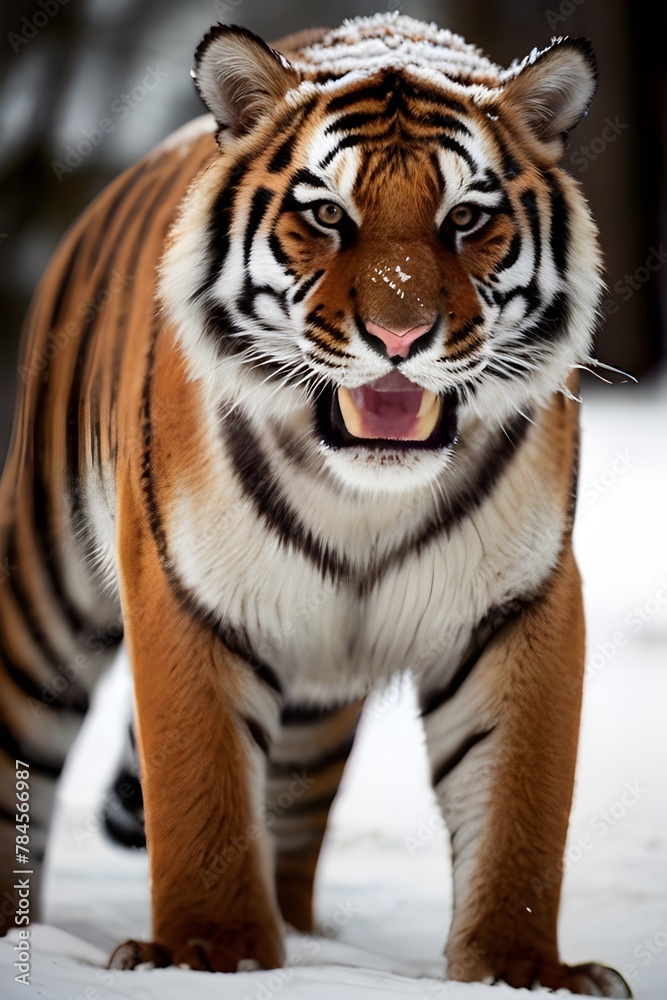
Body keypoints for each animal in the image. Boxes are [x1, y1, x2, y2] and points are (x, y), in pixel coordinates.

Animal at [0, 12, 632, 995]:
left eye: (465, 218)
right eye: (328, 215)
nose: (400, 338)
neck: (361, 498)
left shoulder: (519, 602)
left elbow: (518, 807)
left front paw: (521, 970)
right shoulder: (186, 593)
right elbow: (202, 794)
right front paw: (206, 953)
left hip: (313, 706)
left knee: (290, 822)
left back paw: (304, 943)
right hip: (40, 599)